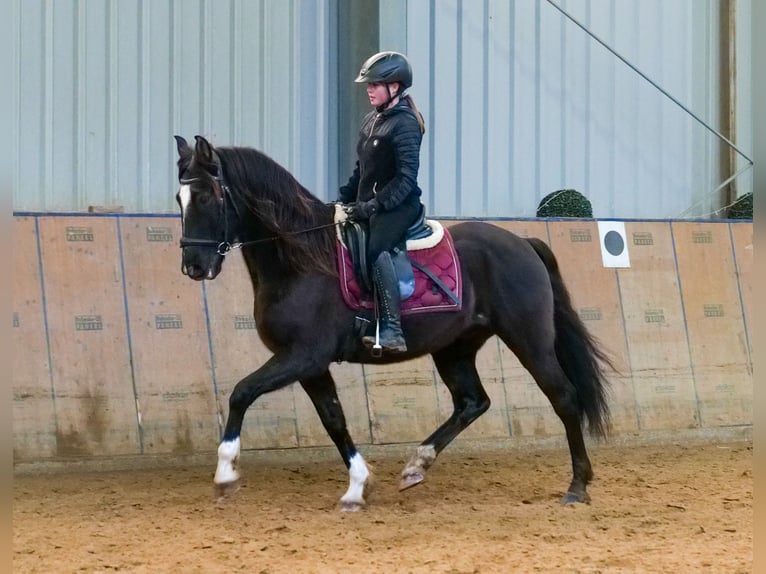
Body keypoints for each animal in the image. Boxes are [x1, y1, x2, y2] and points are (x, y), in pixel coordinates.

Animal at [172, 136, 612, 512]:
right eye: (179, 198)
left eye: (207, 196)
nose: (193, 266)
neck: (301, 259)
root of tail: (523, 243)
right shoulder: (310, 364)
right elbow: (334, 420)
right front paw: (357, 487)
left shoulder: (302, 356)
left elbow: (241, 393)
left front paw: (225, 474)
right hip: (455, 347)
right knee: (473, 401)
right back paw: (417, 464)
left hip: (529, 339)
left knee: (564, 397)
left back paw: (577, 486)